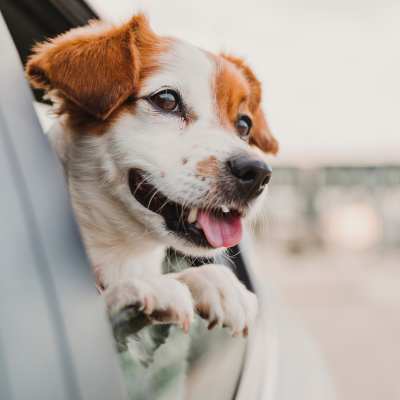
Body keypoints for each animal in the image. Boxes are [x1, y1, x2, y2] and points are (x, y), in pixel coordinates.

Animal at [26, 14, 278, 346]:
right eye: (167, 100)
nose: (258, 173)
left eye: (244, 124)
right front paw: (138, 288)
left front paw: (217, 281)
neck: (124, 252)